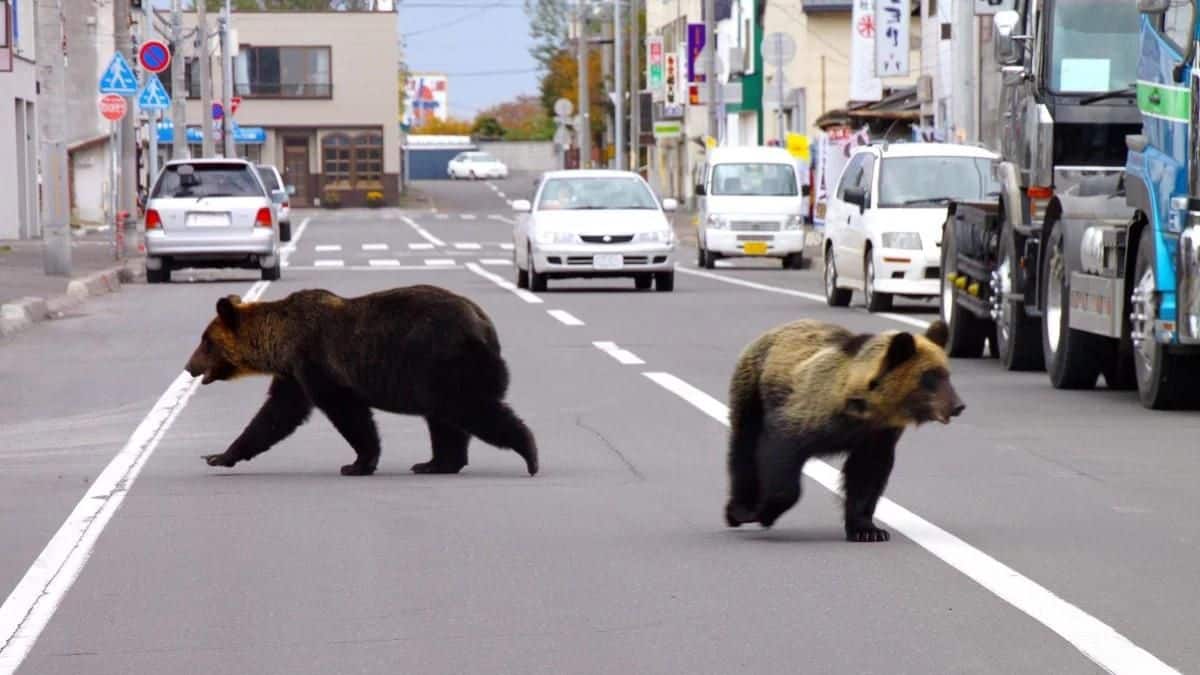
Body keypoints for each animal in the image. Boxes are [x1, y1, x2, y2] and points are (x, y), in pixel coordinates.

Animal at [183, 285, 538, 477]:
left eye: (205, 341)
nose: (189, 366)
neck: (280, 343)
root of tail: (485, 324)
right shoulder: (294, 374)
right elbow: (276, 415)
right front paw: (219, 455)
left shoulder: (316, 362)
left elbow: (347, 413)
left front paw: (357, 463)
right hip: (436, 375)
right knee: (444, 420)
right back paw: (435, 463)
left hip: (446, 362)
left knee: (470, 408)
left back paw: (529, 454)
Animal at [724, 318, 963, 542]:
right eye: (930, 376)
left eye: (947, 374)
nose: (958, 406)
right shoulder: (806, 414)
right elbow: (781, 454)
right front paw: (764, 512)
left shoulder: (877, 435)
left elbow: (866, 475)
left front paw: (868, 530)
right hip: (753, 389)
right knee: (744, 446)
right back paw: (739, 509)